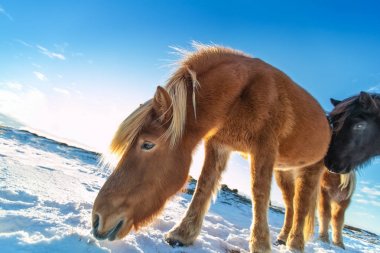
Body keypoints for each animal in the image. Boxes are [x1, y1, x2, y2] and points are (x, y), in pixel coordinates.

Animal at [92, 44, 330, 252]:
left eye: (148, 144)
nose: (97, 219)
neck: (242, 92)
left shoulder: (265, 148)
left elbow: (259, 193)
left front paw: (261, 245)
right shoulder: (218, 145)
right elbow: (204, 185)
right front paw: (181, 235)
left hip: (311, 170)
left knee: (301, 206)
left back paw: (295, 244)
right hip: (284, 172)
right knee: (290, 205)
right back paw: (282, 237)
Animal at [320, 92, 378, 248]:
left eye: (360, 125)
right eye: (333, 125)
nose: (330, 162)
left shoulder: (344, 200)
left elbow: (338, 220)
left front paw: (339, 243)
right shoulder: (324, 193)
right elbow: (325, 213)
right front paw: (323, 238)